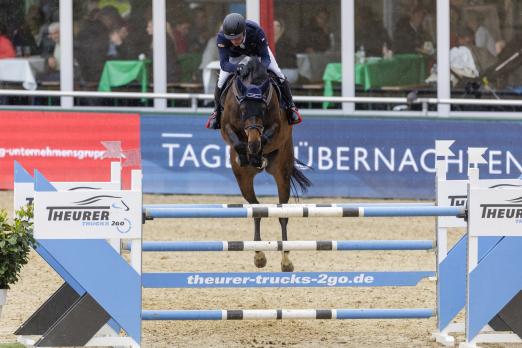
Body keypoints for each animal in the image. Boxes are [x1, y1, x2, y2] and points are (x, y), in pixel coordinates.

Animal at [218, 57, 308, 272]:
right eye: (243, 109)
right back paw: (259, 255)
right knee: (257, 210)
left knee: (282, 213)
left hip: (282, 172)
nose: (253, 144)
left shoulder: (277, 125)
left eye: (264, 109)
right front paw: (248, 155)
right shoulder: (227, 127)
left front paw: (257, 153)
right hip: (243, 180)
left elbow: (269, 134)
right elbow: (236, 141)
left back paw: (286, 260)